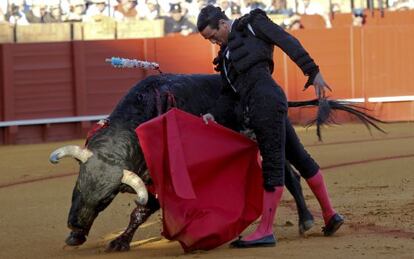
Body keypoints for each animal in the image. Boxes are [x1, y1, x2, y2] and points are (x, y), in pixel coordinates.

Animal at [48, 73, 382, 252]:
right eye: (76, 188)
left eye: (106, 199)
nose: (73, 223)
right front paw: (77, 237)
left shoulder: (159, 182)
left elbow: (140, 212)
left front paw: (119, 242)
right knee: (289, 176)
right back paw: (308, 220)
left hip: (280, 137)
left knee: (295, 173)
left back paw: (309, 221)